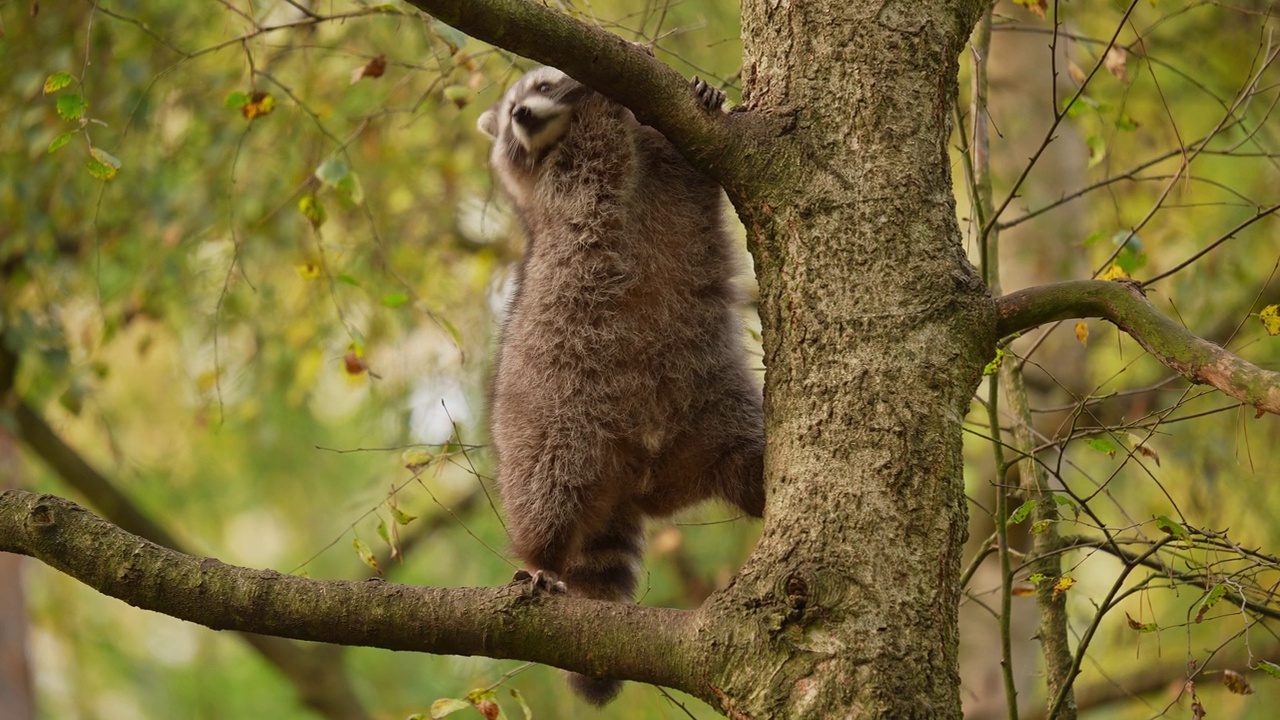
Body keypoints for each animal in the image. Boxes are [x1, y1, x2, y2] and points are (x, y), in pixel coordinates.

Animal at [478, 68, 757, 702]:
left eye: (539, 86)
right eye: (509, 114)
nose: (522, 116)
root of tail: (634, 481)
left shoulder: (672, 174)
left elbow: (690, 166)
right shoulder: (564, 189)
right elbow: (600, 153)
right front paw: (609, 98)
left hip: (712, 405)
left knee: (743, 448)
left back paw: (761, 477)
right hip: (549, 418)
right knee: (546, 494)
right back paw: (543, 557)